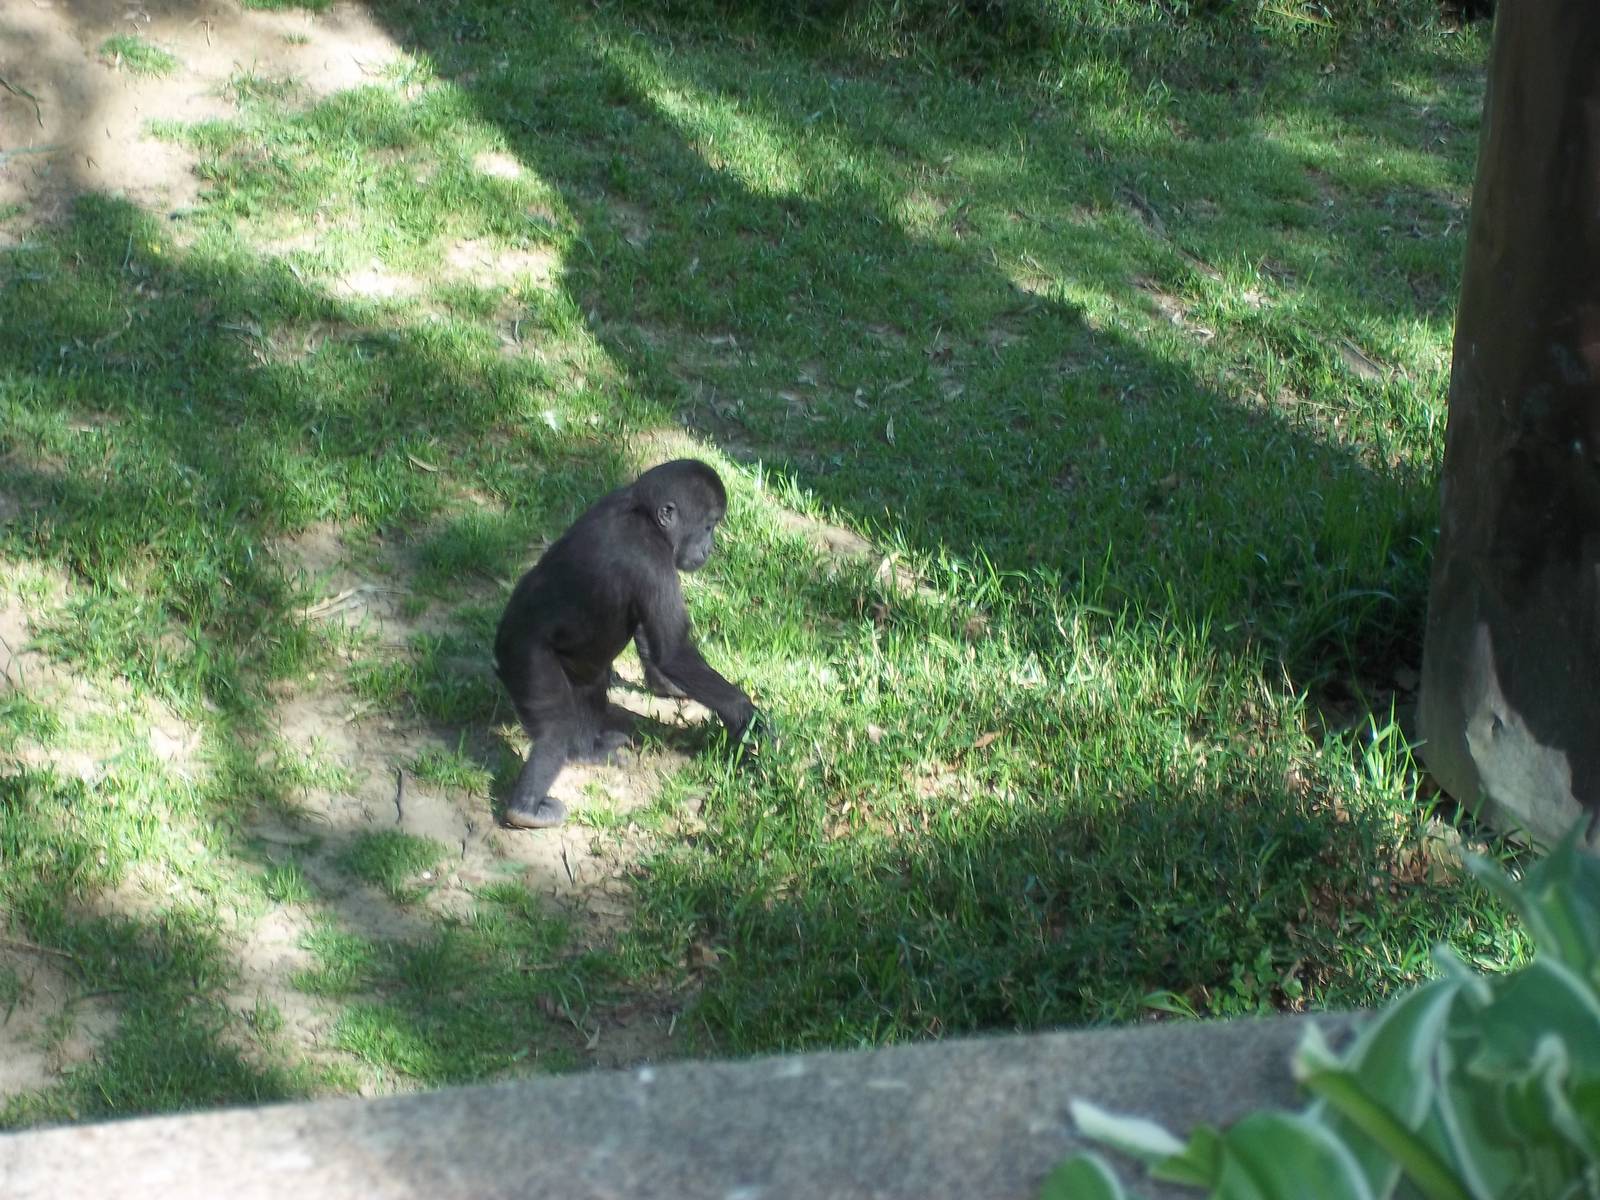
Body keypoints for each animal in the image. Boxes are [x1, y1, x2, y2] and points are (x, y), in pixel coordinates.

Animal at [493, 459, 760, 829]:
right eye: (708, 526)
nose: (710, 547)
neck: (642, 512)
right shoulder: (651, 559)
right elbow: (674, 652)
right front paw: (745, 715)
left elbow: (655, 642)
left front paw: (669, 686)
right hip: (525, 657)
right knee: (555, 728)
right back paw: (525, 809)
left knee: (589, 690)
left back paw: (587, 751)